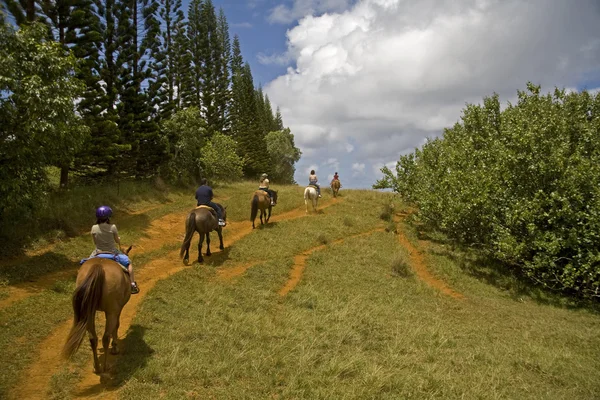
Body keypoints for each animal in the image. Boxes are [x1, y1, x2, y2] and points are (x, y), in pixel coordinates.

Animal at [62, 244, 133, 376]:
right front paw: (115, 347)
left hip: (89, 312)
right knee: (105, 337)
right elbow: (116, 325)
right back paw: (105, 367)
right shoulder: (117, 309)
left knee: (93, 339)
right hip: (110, 311)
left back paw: (97, 367)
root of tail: (98, 266)